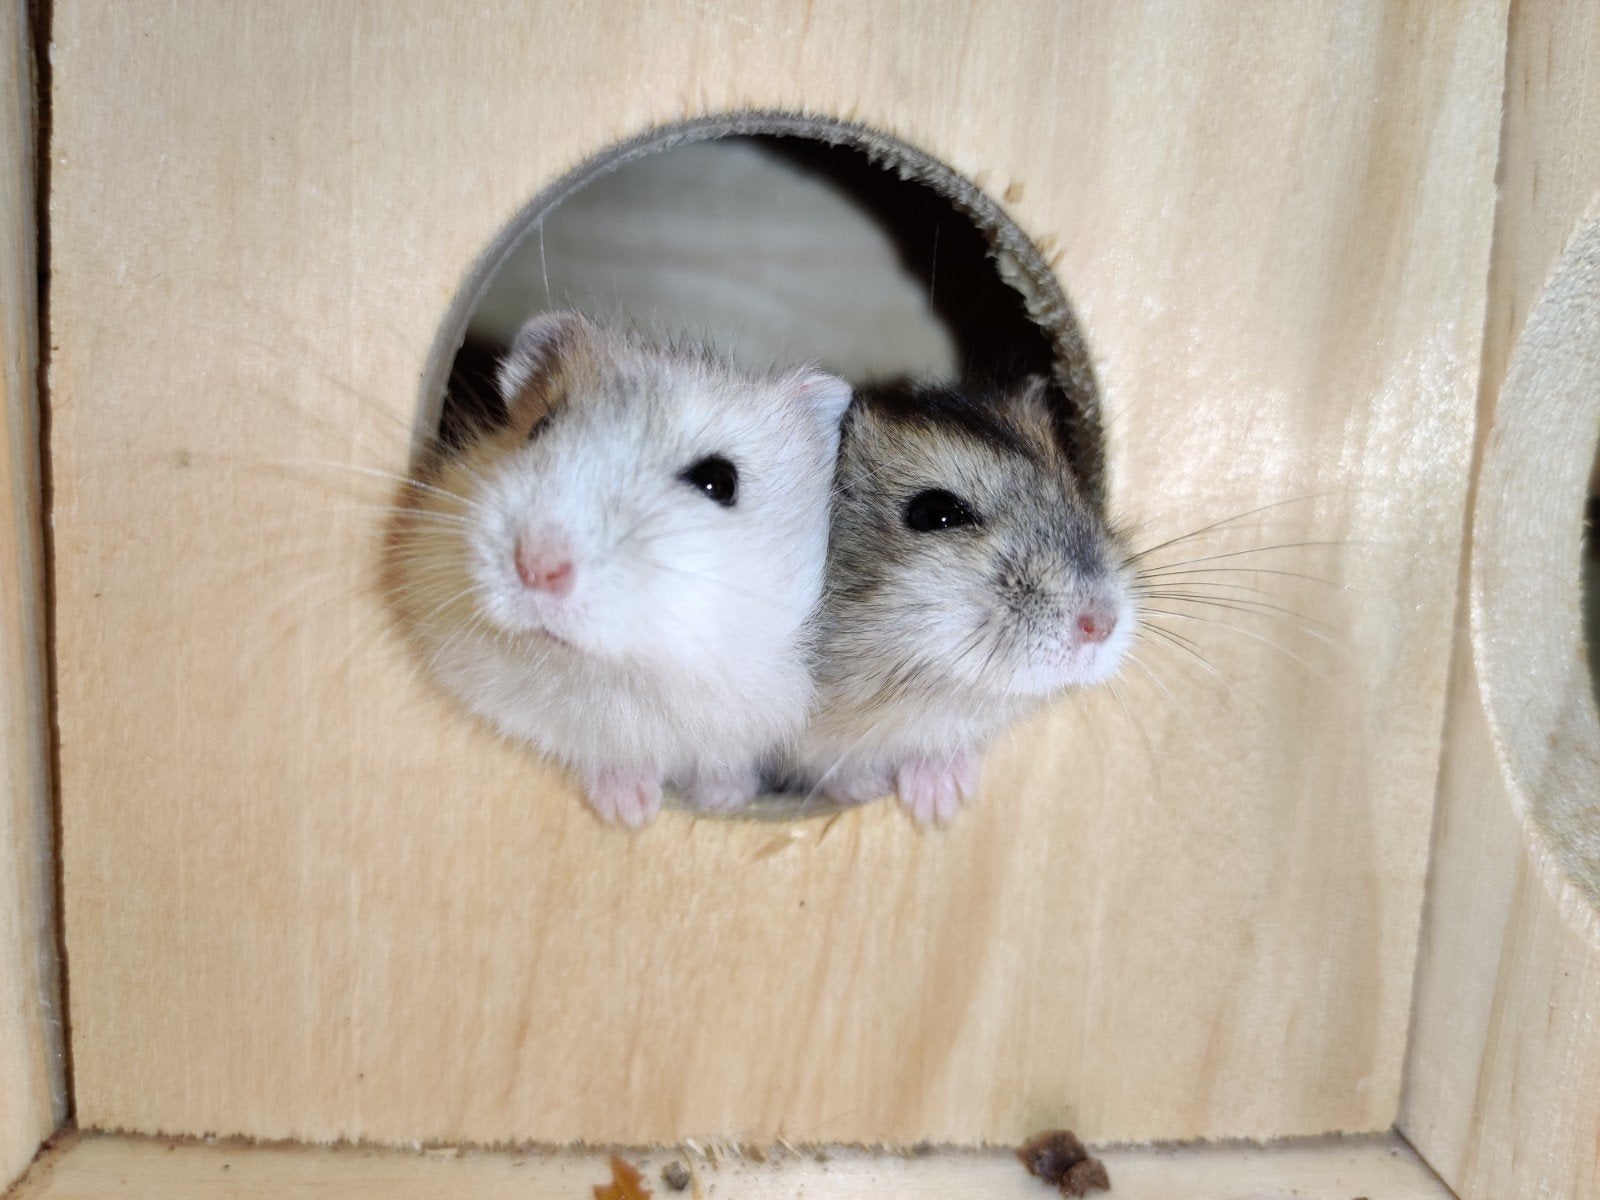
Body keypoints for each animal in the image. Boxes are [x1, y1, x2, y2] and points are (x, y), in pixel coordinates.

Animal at [389, 311, 851, 826]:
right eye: (540, 427)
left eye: (719, 482)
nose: (536, 567)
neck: (616, 674)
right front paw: (630, 811)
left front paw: (722, 798)